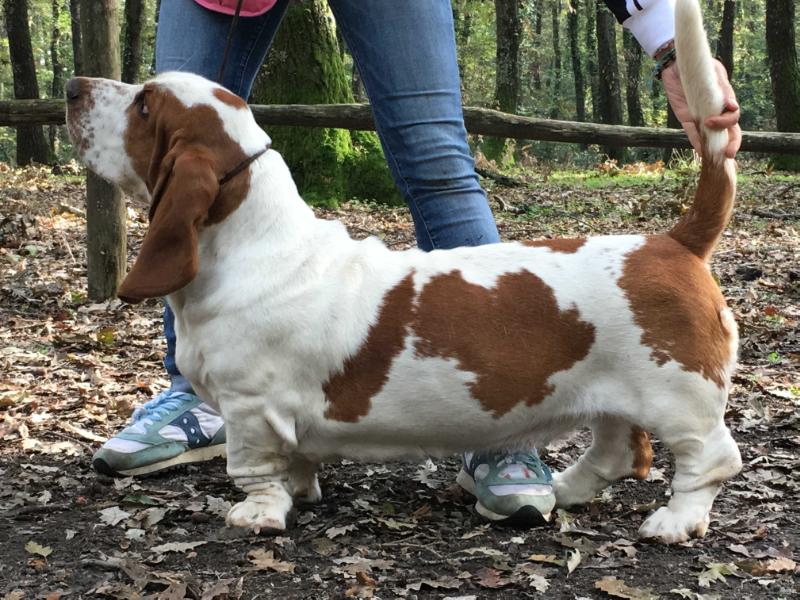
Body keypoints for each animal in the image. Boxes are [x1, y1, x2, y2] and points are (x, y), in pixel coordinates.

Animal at [69, 1, 744, 544]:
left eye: (144, 105)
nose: (73, 84)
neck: (253, 245)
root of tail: (672, 243)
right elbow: (296, 464)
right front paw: (301, 491)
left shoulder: (249, 407)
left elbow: (254, 471)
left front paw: (257, 514)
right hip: (613, 397)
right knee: (620, 451)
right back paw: (566, 490)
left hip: (678, 396)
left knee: (711, 459)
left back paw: (674, 522)